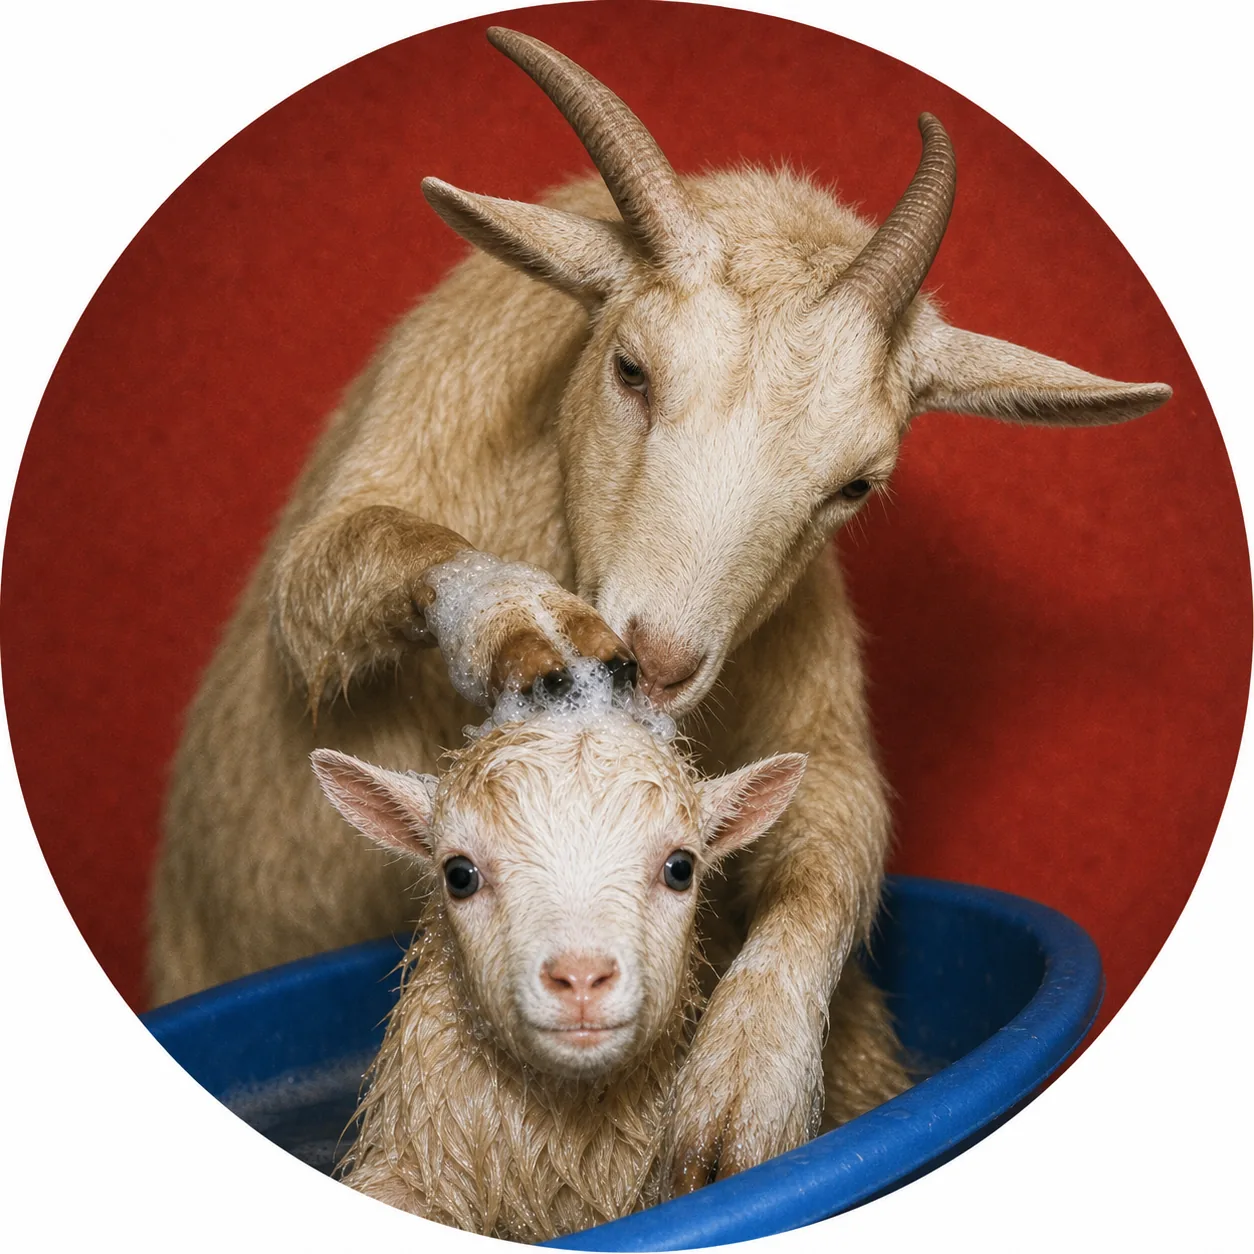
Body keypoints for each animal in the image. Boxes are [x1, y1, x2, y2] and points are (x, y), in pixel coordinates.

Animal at [149, 27, 1171, 1193]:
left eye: (855, 485)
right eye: (630, 368)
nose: (659, 657)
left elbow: (836, 836)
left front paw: (745, 1088)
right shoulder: (343, 555)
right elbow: (359, 561)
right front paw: (517, 618)